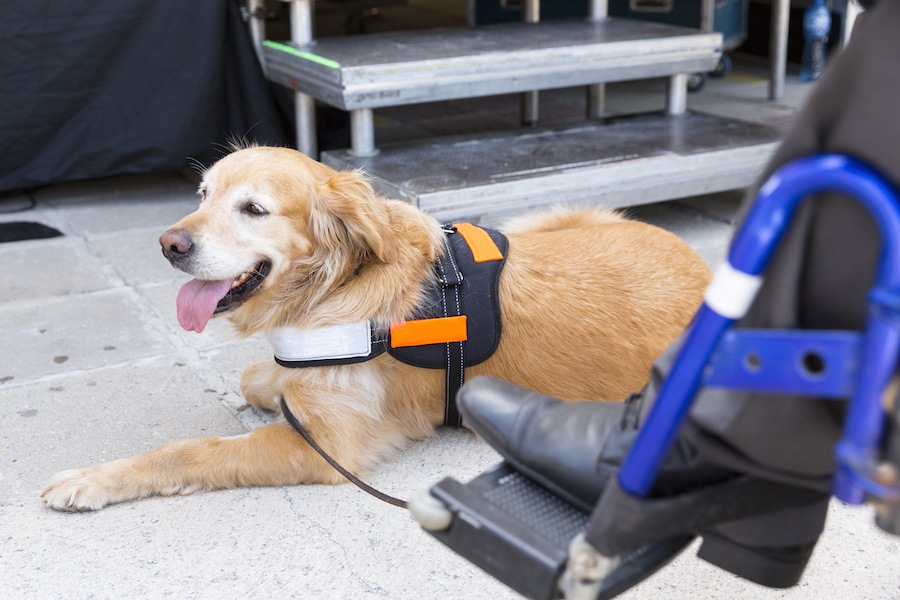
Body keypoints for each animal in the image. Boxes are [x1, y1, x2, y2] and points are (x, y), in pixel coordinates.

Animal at [40, 146, 712, 510]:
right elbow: (260, 377)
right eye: (202, 195)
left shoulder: (327, 447)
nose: (169, 245)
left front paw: (92, 480)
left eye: (253, 209)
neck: (335, 284)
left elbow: (192, 450)